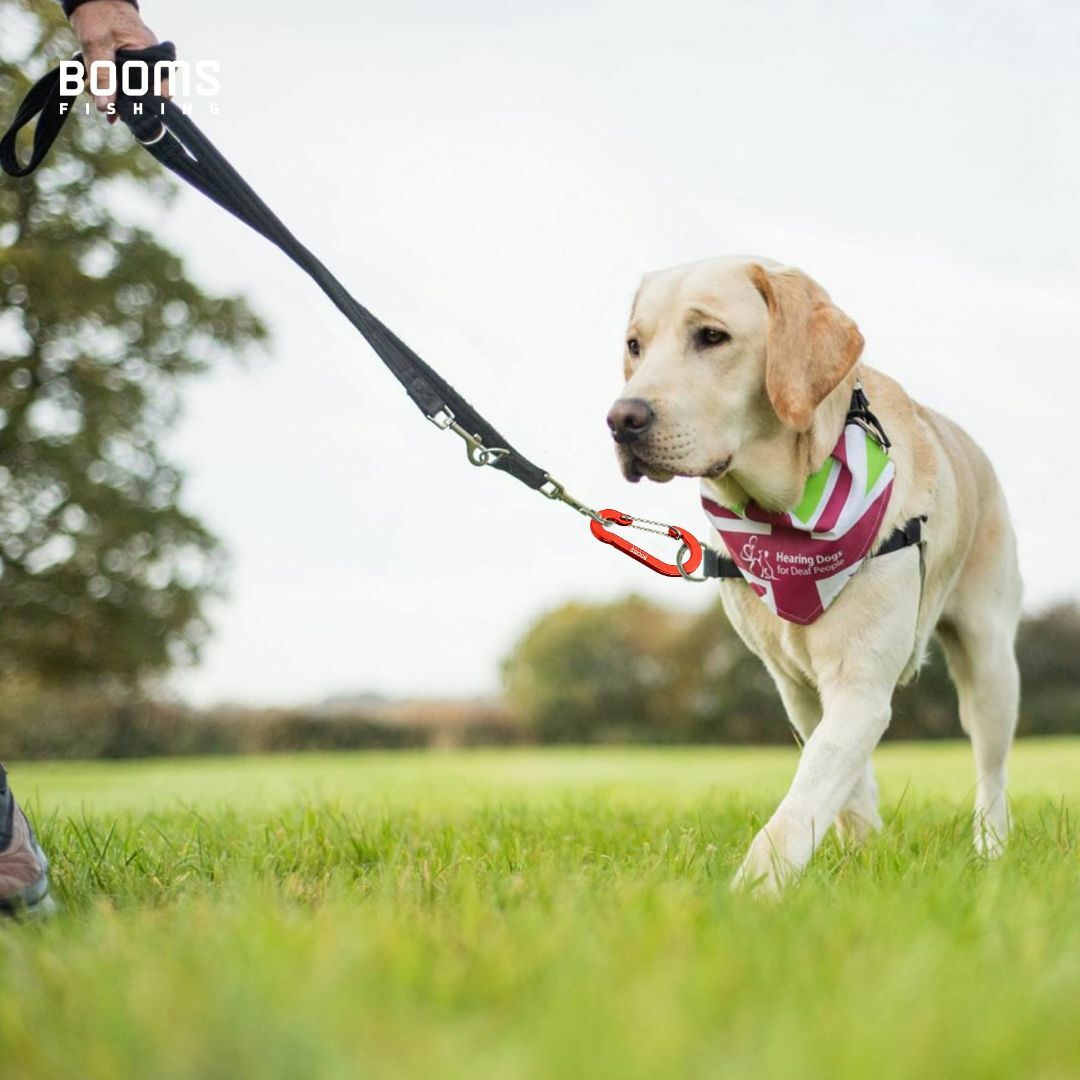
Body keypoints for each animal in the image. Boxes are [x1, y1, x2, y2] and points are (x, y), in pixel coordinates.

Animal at [609, 254, 1019, 894]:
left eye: (711, 336)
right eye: (634, 345)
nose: (621, 419)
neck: (783, 518)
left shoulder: (860, 683)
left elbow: (798, 806)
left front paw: (751, 894)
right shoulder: (798, 688)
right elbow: (837, 785)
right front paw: (863, 858)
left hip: (991, 660)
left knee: (991, 770)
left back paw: (991, 849)